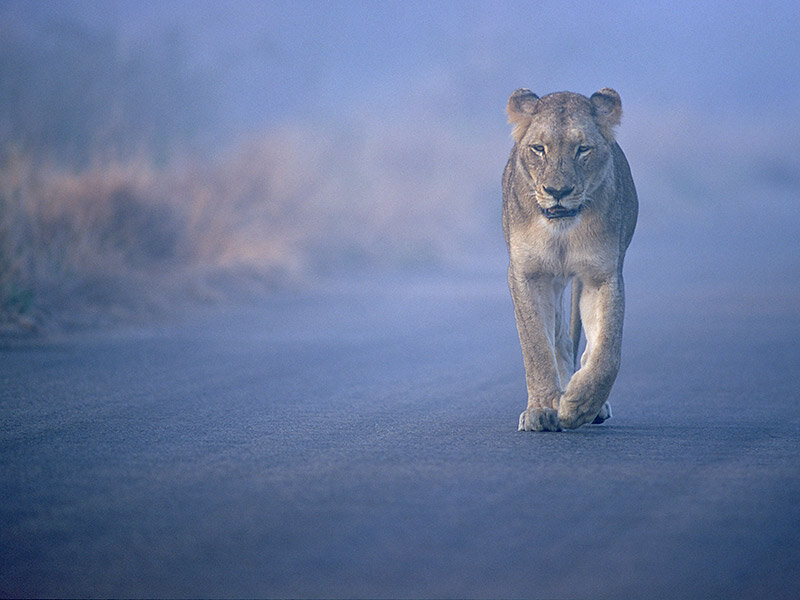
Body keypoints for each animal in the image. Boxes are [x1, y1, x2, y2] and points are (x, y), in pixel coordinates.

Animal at [502, 88, 638, 431]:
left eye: (583, 149)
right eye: (539, 149)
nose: (557, 191)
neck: (562, 231)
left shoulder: (601, 275)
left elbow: (607, 351)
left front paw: (578, 405)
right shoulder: (528, 273)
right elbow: (537, 346)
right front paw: (541, 409)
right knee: (561, 339)